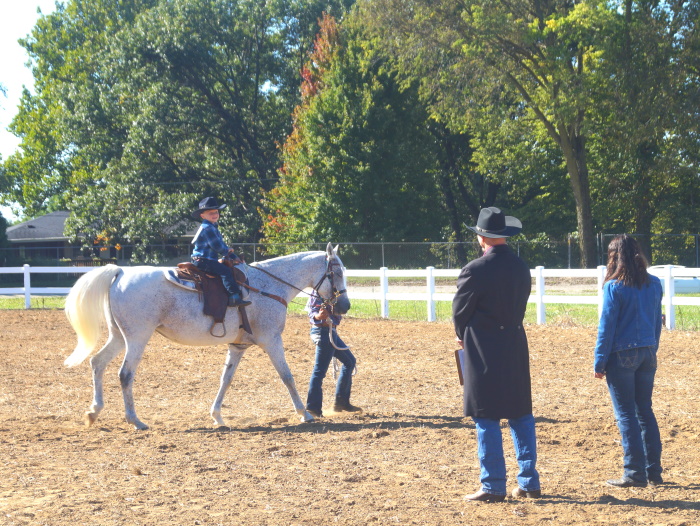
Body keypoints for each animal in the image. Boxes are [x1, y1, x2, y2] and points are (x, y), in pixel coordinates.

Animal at [63, 245, 350, 432]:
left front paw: (217, 417)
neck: (268, 287)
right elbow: (287, 376)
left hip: (119, 336)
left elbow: (226, 379)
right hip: (137, 338)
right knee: (125, 374)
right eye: (337, 272)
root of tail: (121, 272)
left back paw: (93, 412)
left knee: (97, 363)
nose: (345, 305)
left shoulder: (238, 346)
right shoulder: (271, 341)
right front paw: (304, 414)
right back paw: (136, 420)